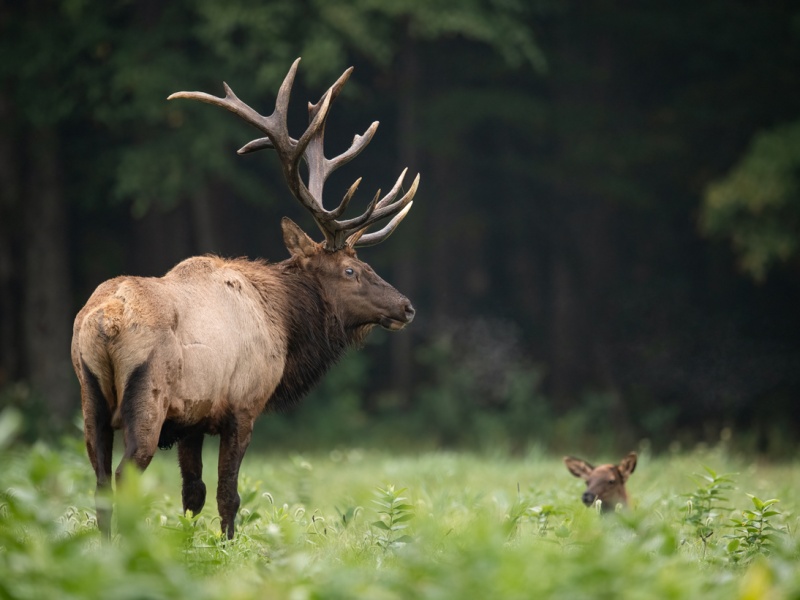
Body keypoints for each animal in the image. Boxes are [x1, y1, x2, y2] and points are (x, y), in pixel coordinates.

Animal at [70, 59, 418, 540]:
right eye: (351, 271)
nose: (406, 306)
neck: (284, 325)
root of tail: (106, 322)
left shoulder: (192, 419)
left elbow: (192, 494)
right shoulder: (242, 407)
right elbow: (228, 495)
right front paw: (228, 546)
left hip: (90, 399)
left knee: (100, 481)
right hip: (147, 400)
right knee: (124, 476)